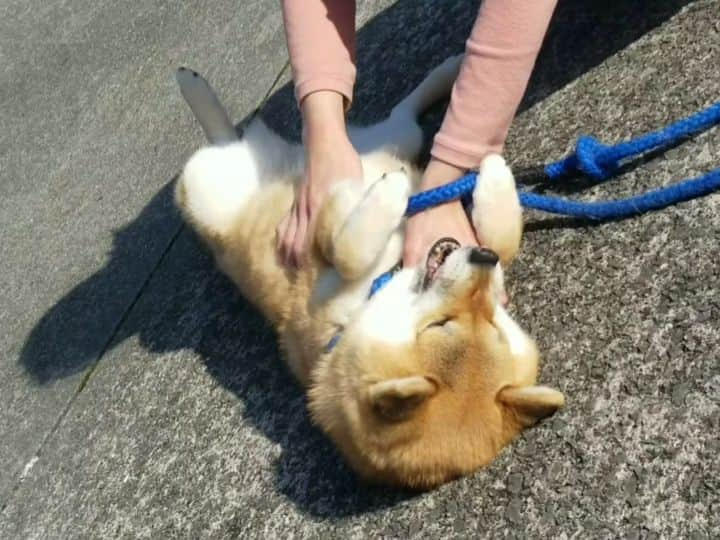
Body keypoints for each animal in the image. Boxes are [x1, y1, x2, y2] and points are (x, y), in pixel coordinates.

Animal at [173, 56, 564, 490]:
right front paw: (477, 177)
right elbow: (350, 250)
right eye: (440, 325)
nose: (482, 258)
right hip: (211, 185)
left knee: (396, 118)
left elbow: (501, 239)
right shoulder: (323, 253)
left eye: (492, 323)